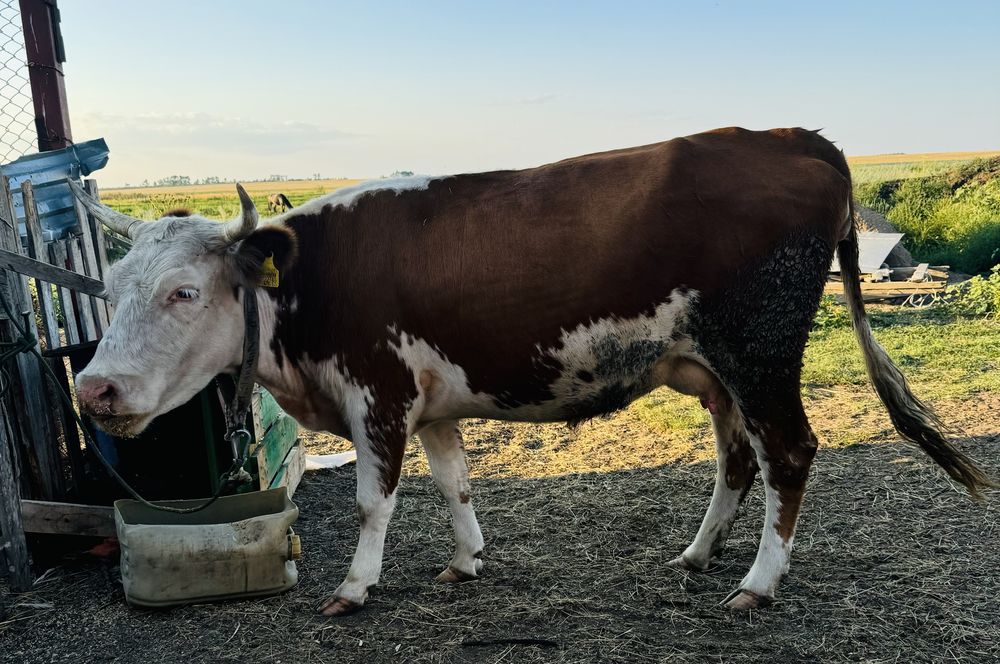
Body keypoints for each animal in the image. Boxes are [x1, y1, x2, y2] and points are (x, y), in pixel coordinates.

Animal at [70, 127, 994, 616]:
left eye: (185, 291)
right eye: (111, 288)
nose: (93, 388)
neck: (307, 282)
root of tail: (784, 135)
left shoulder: (377, 395)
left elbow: (375, 501)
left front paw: (356, 587)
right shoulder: (433, 402)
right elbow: (454, 482)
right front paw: (467, 560)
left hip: (761, 352)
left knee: (790, 453)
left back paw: (759, 583)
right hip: (716, 368)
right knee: (737, 460)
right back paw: (697, 556)